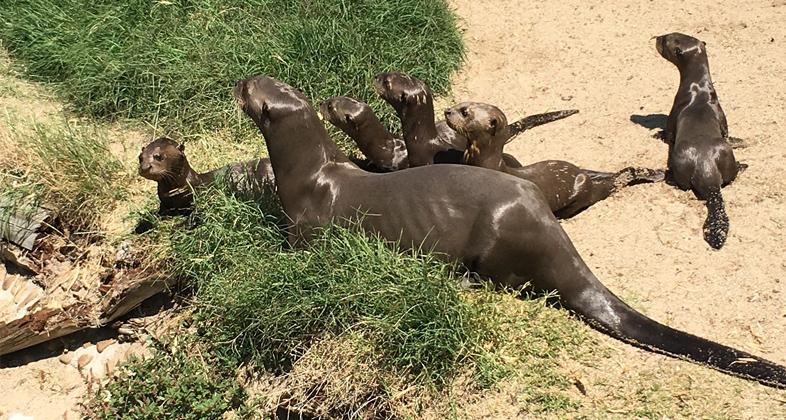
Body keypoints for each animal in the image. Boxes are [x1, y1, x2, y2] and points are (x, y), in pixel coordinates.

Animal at [448, 102, 660, 218]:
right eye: (462, 103)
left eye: (465, 112)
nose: (448, 111)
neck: (486, 162)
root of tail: (595, 183)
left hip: (581, 193)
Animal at [656, 33, 740, 249]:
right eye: (670, 33)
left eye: (665, 41)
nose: (656, 37)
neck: (698, 90)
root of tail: (707, 169)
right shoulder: (722, 117)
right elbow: (727, 131)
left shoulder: (673, 113)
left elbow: (668, 134)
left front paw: (657, 134)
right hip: (725, 150)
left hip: (680, 161)